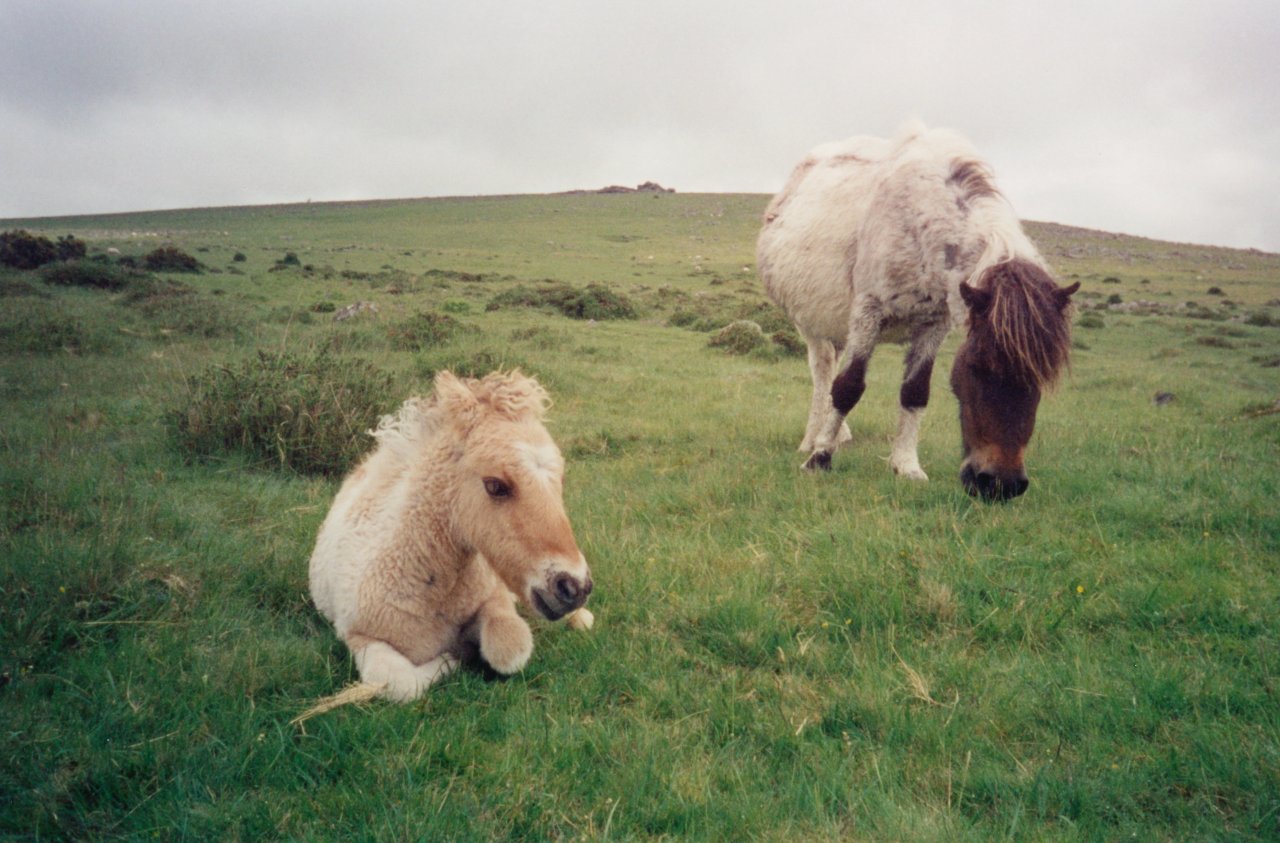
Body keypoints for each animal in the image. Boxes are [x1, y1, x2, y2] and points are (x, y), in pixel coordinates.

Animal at [307, 373, 591, 701]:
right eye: (495, 485)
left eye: (561, 479)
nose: (575, 587)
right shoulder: (358, 635)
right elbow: (400, 683)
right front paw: (454, 658)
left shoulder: (495, 600)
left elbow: (509, 647)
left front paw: (467, 648)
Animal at [757, 122, 1080, 498]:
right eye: (978, 366)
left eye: (1043, 376)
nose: (1002, 484)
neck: (921, 219)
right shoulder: (868, 312)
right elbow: (848, 386)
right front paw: (819, 459)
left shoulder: (934, 323)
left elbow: (915, 392)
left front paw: (906, 465)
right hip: (811, 325)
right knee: (822, 373)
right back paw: (813, 439)